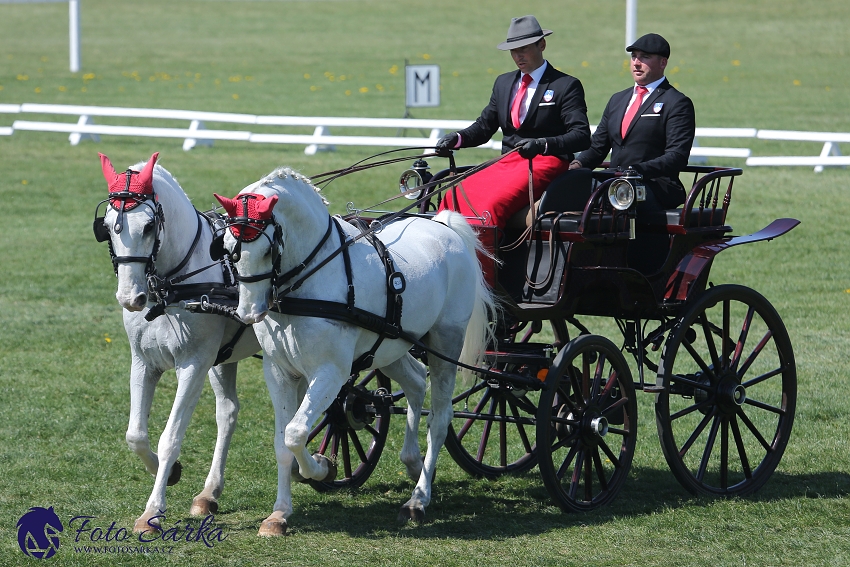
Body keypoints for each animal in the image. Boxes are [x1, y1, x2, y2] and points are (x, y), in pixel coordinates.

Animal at [95, 153, 258, 536]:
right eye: (107, 226)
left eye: (148, 227)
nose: (130, 298)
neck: (171, 291)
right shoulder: (143, 362)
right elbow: (136, 434)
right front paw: (169, 474)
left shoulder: (193, 365)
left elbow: (170, 437)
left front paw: (151, 512)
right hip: (224, 359)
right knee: (228, 412)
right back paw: (209, 494)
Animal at [212, 166, 500, 536]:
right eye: (227, 249)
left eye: (266, 250)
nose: (248, 313)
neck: (311, 279)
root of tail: (444, 226)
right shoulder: (279, 372)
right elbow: (282, 441)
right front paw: (279, 514)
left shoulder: (331, 372)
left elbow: (296, 432)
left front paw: (320, 467)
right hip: (391, 346)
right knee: (415, 381)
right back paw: (413, 463)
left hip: (444, 344)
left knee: (439, 419)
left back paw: (418, 499)